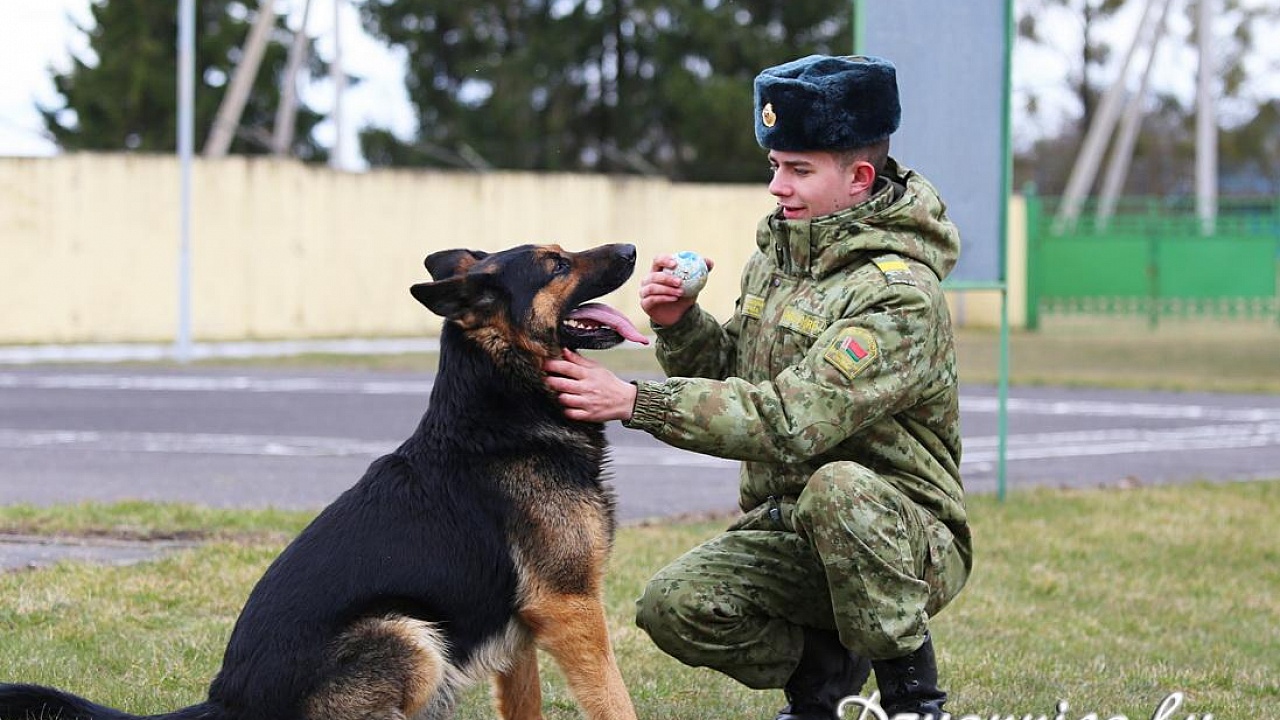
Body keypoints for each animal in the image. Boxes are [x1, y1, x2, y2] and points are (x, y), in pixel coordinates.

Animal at [0, 242, 645, 717]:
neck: (503, 410)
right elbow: (615, 701)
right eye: (556, 263)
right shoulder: (569, 608)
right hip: (407, 636)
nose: (633, 249)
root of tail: (226, 704)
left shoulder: (524, 630)